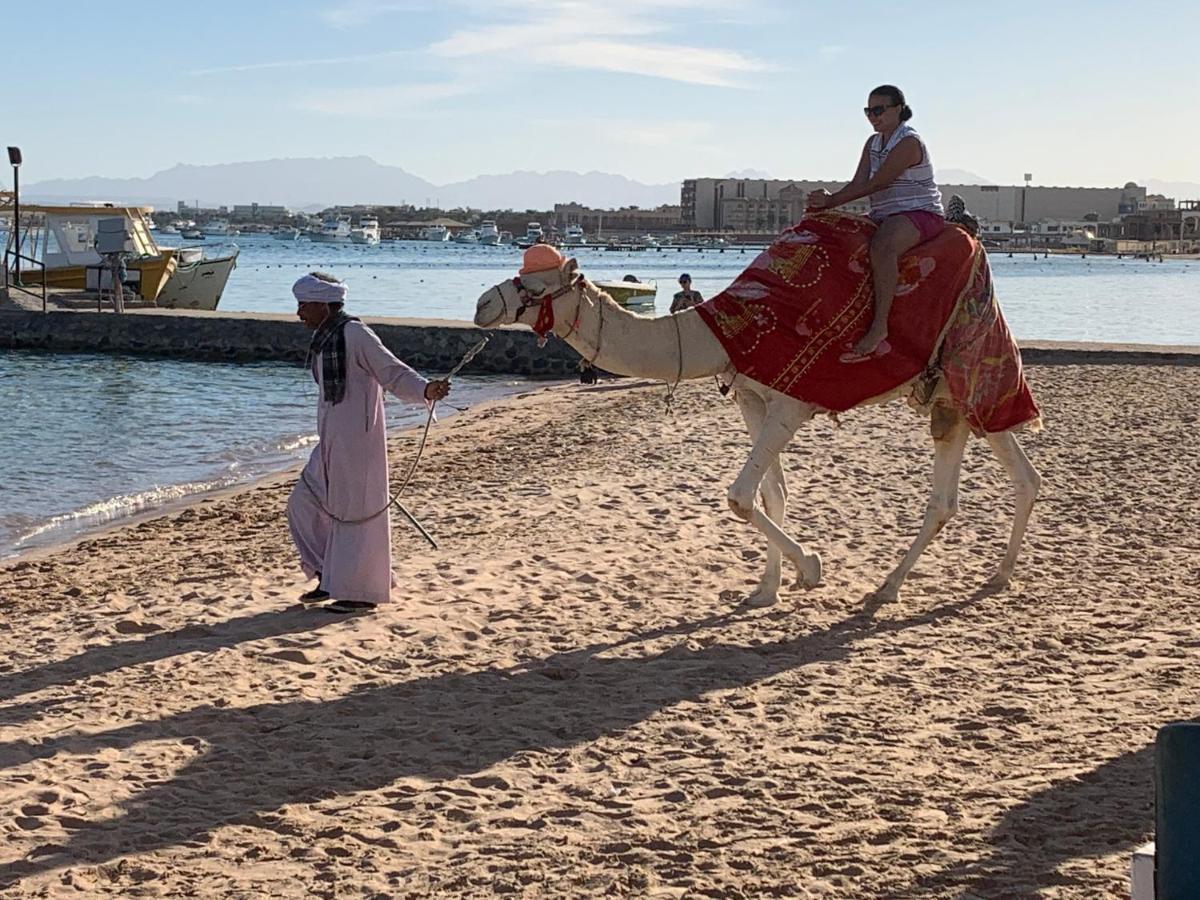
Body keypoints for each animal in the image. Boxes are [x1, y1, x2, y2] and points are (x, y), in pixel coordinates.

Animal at [472, 255, 1036, 607]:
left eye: (536, 285)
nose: (482, 304)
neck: (719, 334)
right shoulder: (752, 397)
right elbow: (773, 495)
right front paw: (767, 589)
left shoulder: (792, 401)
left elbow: (741, 496)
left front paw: (811, 567)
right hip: (950, 397)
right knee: (998, 483)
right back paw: (989, 575)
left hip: (969, 374)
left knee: (973, 484)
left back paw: (896, 585)